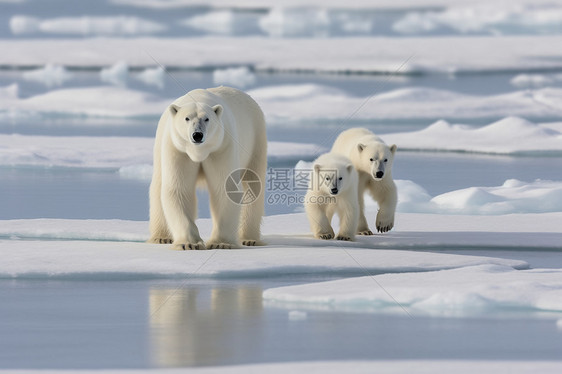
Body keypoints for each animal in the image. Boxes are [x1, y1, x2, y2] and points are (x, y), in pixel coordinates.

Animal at [147, 86, 264, 250]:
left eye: (207, 119)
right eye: (187, 118)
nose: (197, 135)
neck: (199, 152)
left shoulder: (221, 147)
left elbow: (224, 188)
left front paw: (220, 243)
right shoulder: (178, 149)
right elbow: (179, 188)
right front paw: (189, 244)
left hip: (255, 140)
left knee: (253, 184)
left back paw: (249, 239)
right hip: (159, 149)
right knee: (158, 186)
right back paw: (161, 237)